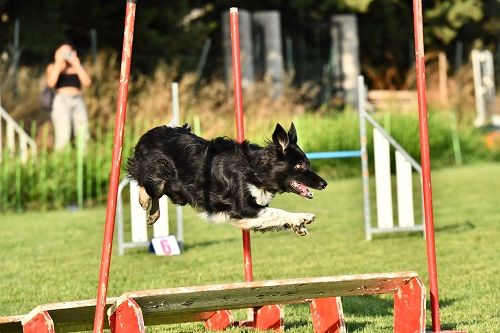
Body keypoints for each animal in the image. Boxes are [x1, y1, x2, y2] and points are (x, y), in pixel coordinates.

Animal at [127, 123, 326, 235]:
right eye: (299, 166)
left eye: (308, 163)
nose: (324, 184)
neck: (255, 170)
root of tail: (148, 134)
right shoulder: (242, 208)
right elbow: (277, 212)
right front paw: (302, 217)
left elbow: (273, 217)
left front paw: (297, 226)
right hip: (159, 180)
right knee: (146, 186)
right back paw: (145, 202)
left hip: (177, 192)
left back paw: (152, 214)